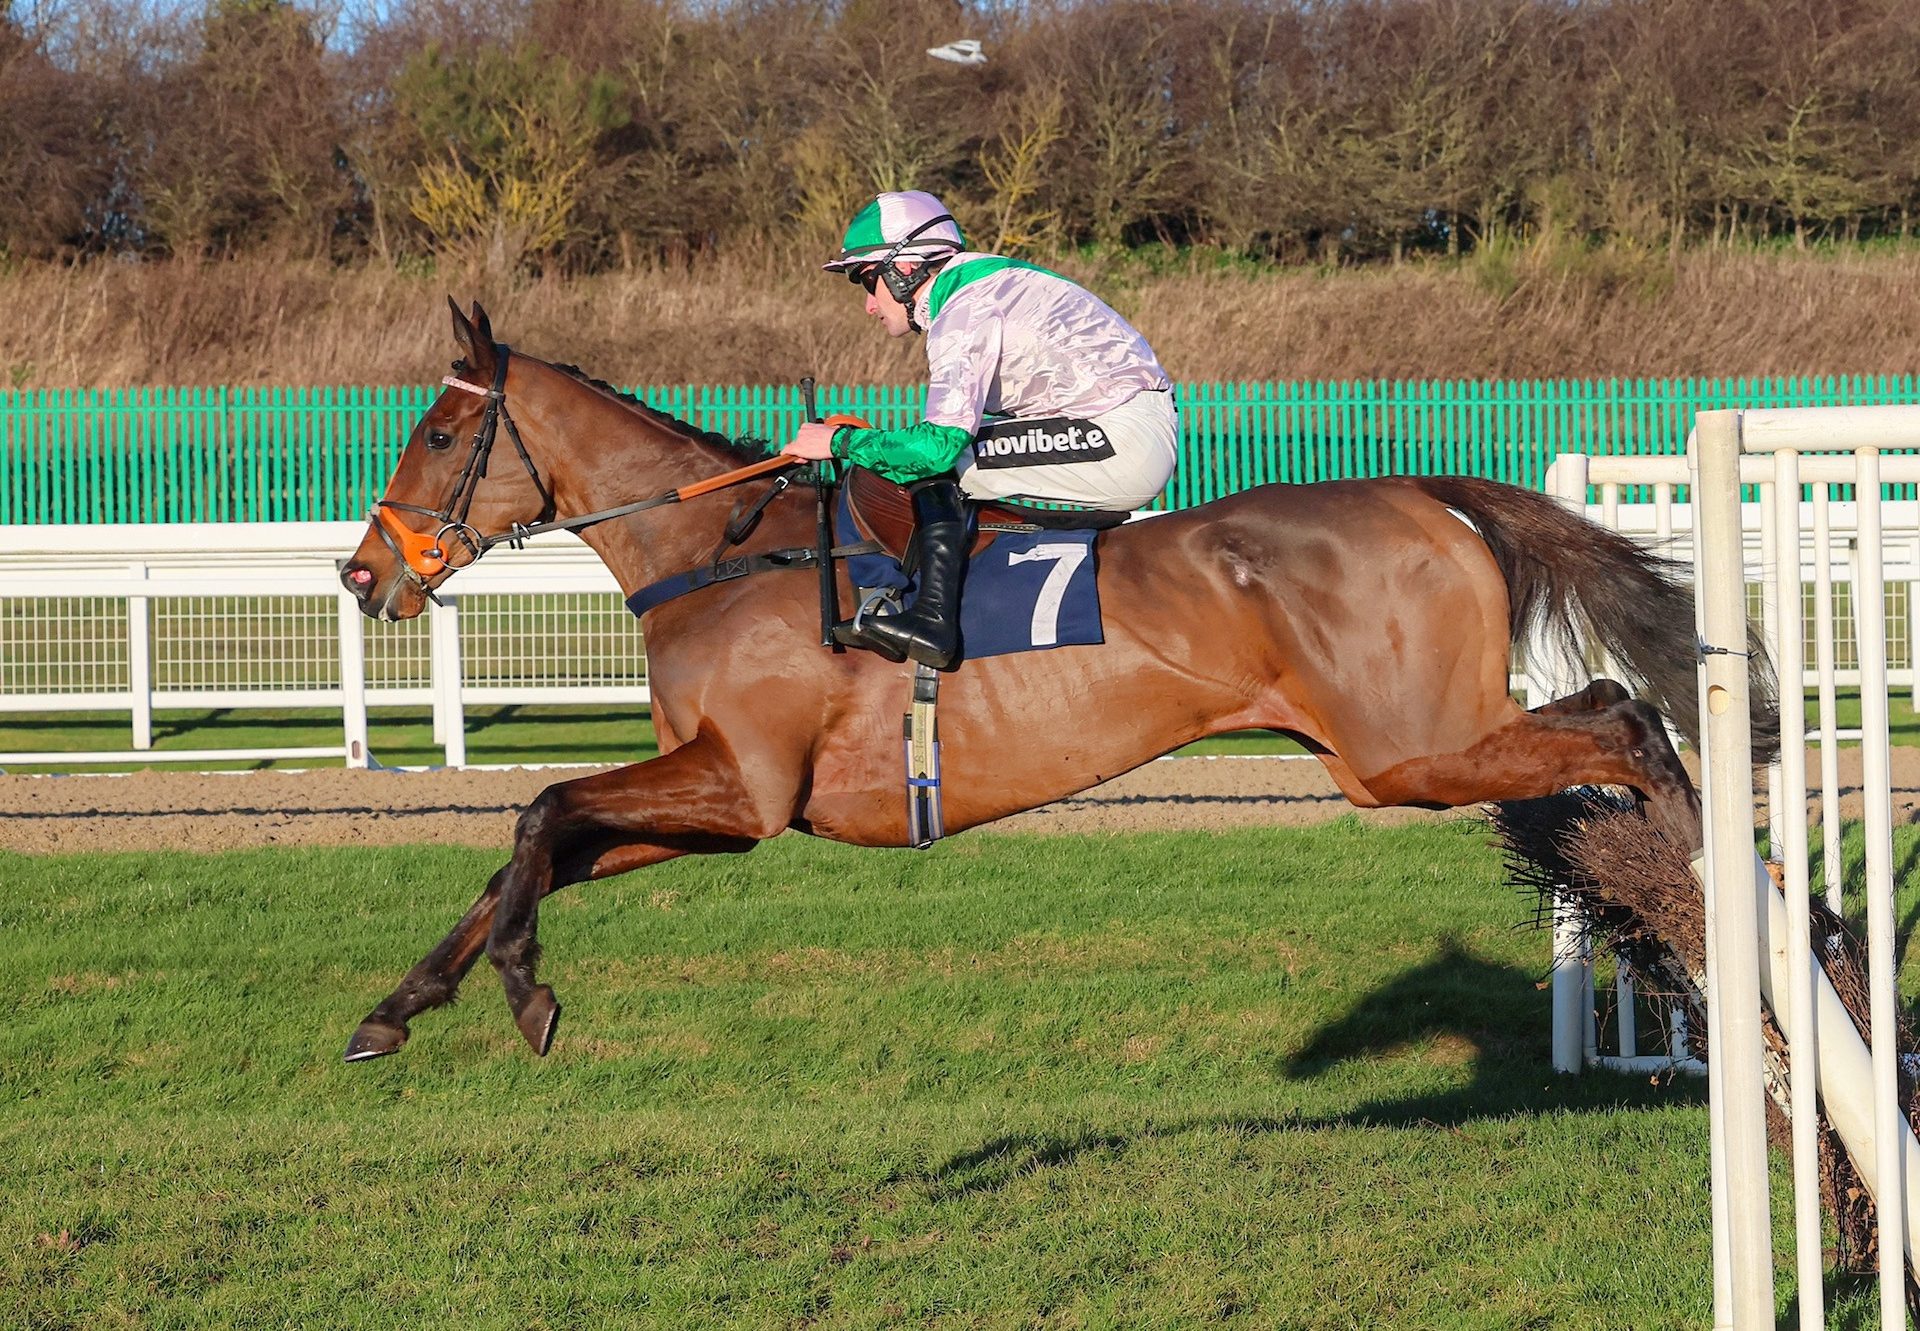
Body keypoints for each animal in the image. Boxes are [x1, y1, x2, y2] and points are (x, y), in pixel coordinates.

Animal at [341, 297, 1743, 1060]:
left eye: (443, 433)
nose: (363, 575)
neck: (723, 553)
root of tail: (1418, 486)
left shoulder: (742, 785)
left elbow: (540, 809)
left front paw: (524, 992)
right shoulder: (728, 805)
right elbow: (532, 847)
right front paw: (400, 1006)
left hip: (1405, 750)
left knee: (1624, 717)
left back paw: (1701, 868)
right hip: (1398, 753)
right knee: (1608, 719)